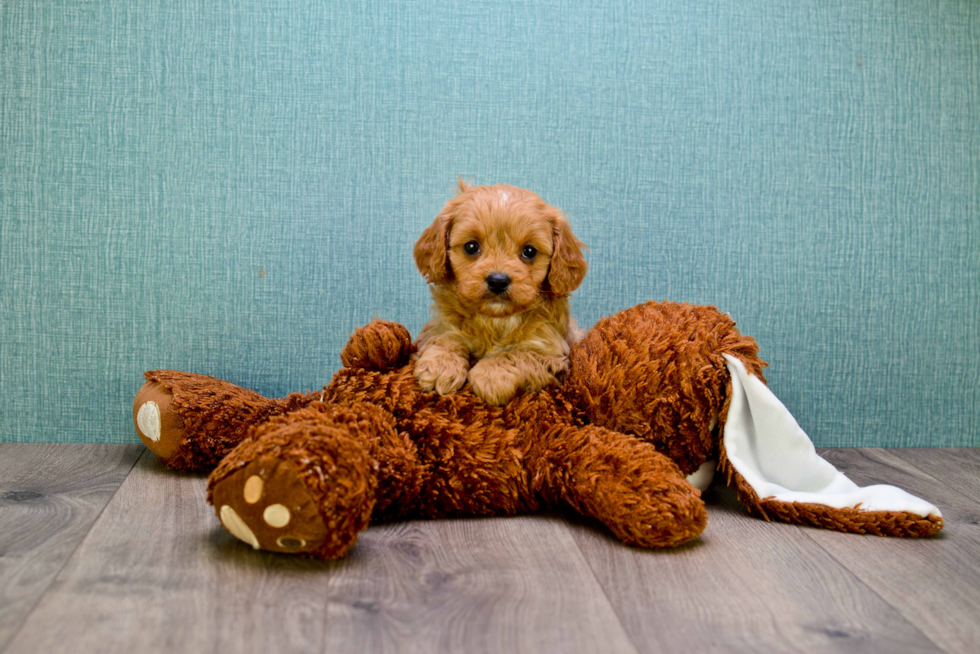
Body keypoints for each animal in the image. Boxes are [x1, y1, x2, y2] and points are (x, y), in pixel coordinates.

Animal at [410, 179, 584, 404]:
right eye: (471, 247)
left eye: (529, 251)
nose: (498, 281)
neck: (495, 319)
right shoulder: (437, 326)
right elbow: (446, 337)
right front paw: (441, 366)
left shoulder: (553, 355)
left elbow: (517, 354)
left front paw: (490, 376)